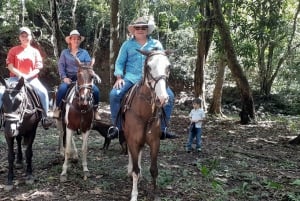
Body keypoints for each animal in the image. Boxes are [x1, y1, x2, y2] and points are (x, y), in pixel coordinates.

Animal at [120, 49, 170, 201]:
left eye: (168, 66)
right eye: (148, 67)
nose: (162, 98)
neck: (144, 113)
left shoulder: (155, 142)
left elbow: (154, 170)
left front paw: (155, 194)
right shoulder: (133, 140)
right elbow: (135, 169)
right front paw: (134, 195)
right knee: (132, 156)